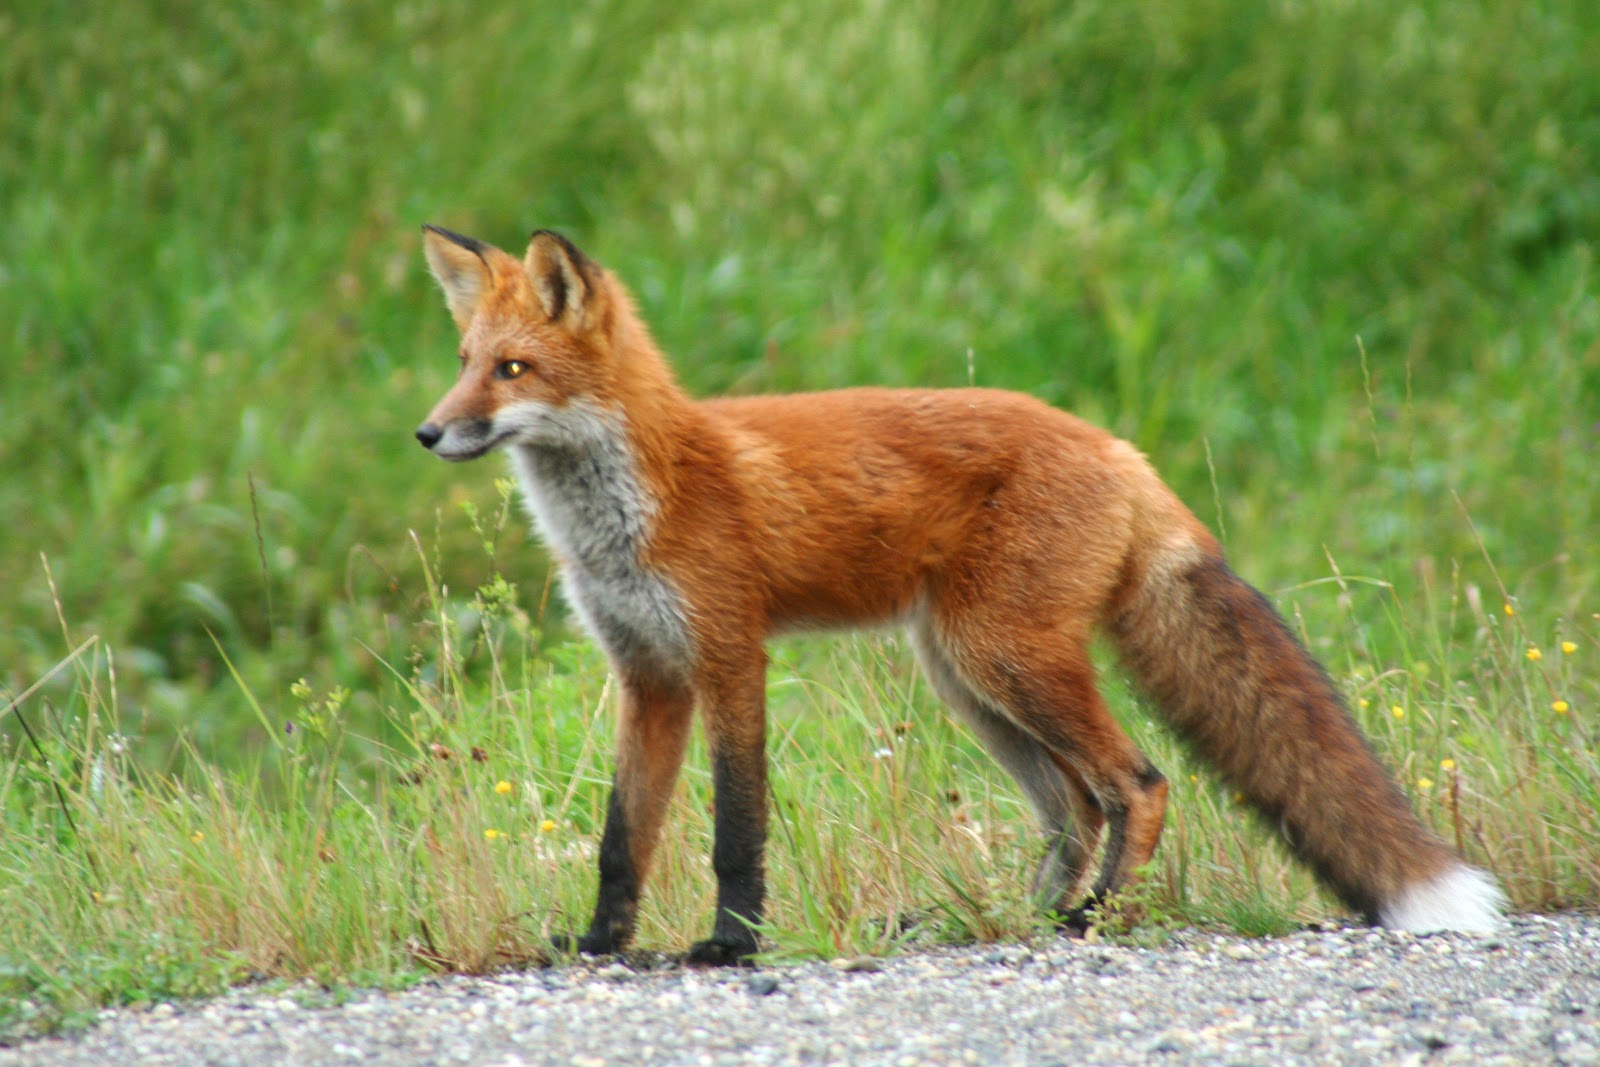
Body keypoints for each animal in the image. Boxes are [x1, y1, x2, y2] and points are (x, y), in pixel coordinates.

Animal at [409, 225, 1497, 966]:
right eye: (463, 366)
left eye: (512, 370)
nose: (426, 432)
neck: (634, 503)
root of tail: (1119, 448)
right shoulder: (648, 677)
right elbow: (621, 838)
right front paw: (600, 943)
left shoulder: (727, 655)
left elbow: (734, 830)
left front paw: (730, 945)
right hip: (967, 679)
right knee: (1077, 805)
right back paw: (1028, 917)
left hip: (1000, 655)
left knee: (1138, 782)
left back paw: (1090, 917)